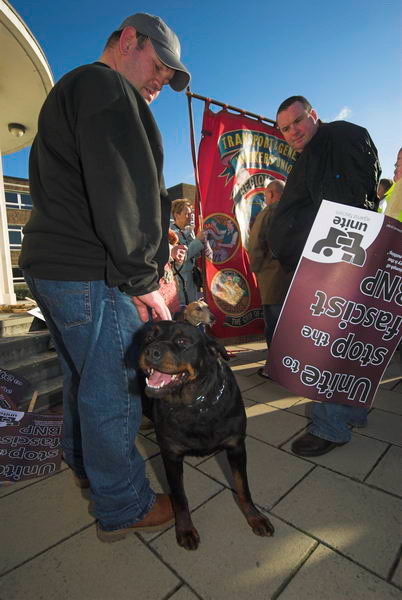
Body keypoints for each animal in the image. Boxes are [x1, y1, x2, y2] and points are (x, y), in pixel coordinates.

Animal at [140, 322, 274, 552]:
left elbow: (243, 487)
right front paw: (185, 529)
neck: (194, 404)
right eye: (149, 337)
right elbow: (180, 498)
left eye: (182, 341)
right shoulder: (171, 456)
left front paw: (254, 516)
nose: (150, 352)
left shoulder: (236, 447)